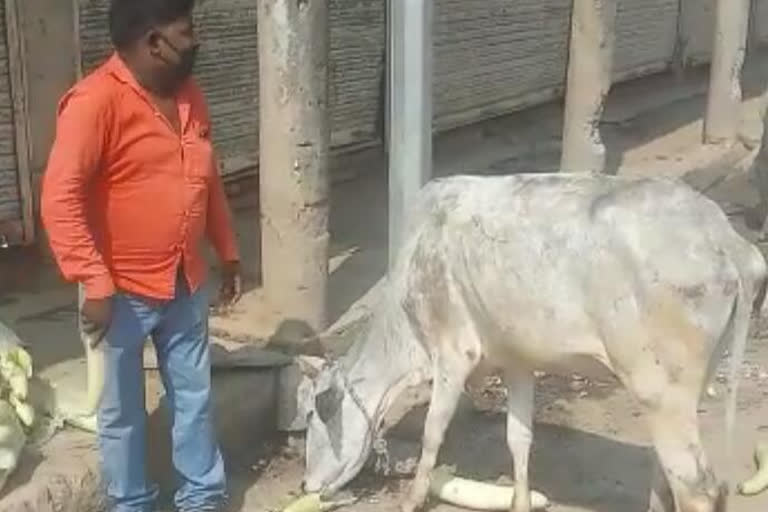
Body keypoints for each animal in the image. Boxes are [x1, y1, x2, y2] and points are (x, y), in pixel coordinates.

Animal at [304, 173, 764, 512]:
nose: (307, 483)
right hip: (689, 386)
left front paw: (412, 499)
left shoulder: (453, 352)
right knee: (670, 471)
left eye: (312, 416)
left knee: (696, 487)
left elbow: (433, 432)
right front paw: (521, 501)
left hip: (659, 390)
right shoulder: (518, 361)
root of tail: (725, 236)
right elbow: (519, 438)